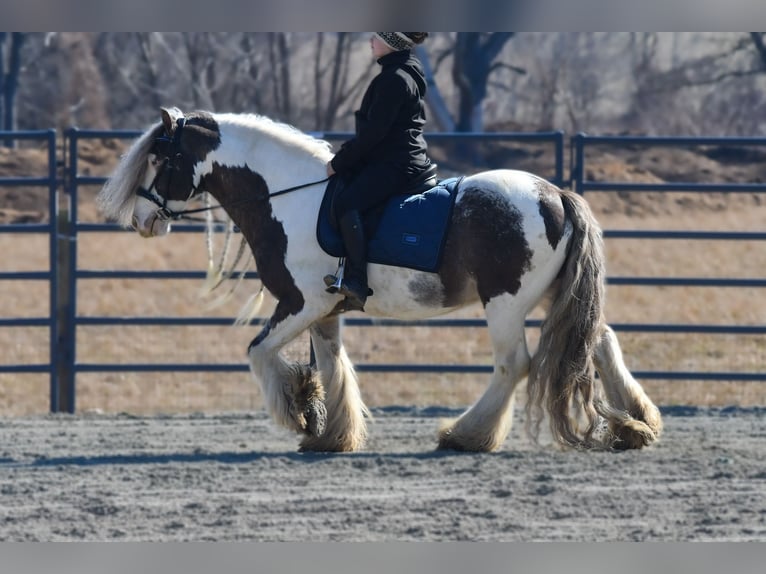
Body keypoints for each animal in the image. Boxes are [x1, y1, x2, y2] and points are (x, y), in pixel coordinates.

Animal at [97, 107, 663, 453]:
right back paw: (637, 424)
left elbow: (259, 353)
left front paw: (298, 412)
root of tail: (555, 195)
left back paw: (467, 434)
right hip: (550, 296)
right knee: (601, 341)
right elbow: (332, 366)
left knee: (514, 364)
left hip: (505, 304)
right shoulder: (325, 312)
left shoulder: (300, 303)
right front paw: (327, 431)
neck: (289, 195)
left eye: (161, 157)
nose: (143, 221)